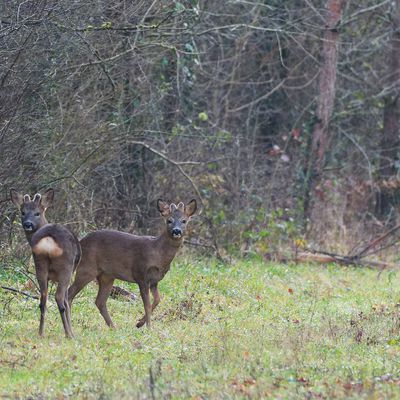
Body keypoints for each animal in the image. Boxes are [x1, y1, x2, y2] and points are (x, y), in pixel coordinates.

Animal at [10, 188, 81, 338]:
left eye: (37, 213)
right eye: (22, 212)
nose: (28, 224)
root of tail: (48, 240)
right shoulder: (71, 272)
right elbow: (67, 300)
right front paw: (72, 332)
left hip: (40, 266)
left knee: (43, 299)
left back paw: (41, 333)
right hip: (66, 268)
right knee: (60, 298)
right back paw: (68, 334)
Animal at [68, 199, 197, 328]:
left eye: (184, 221)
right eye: (169, 220)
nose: (176, 231)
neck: (158, 253)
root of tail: (81, 242)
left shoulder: (154, 281)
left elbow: (157, 300)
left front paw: (139, 323)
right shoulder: (141, 274)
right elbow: (147, 304)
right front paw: (148, 327)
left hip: (107, 276)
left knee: (99, 301)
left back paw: (113, 327)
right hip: (87, 268)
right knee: (70, 293)